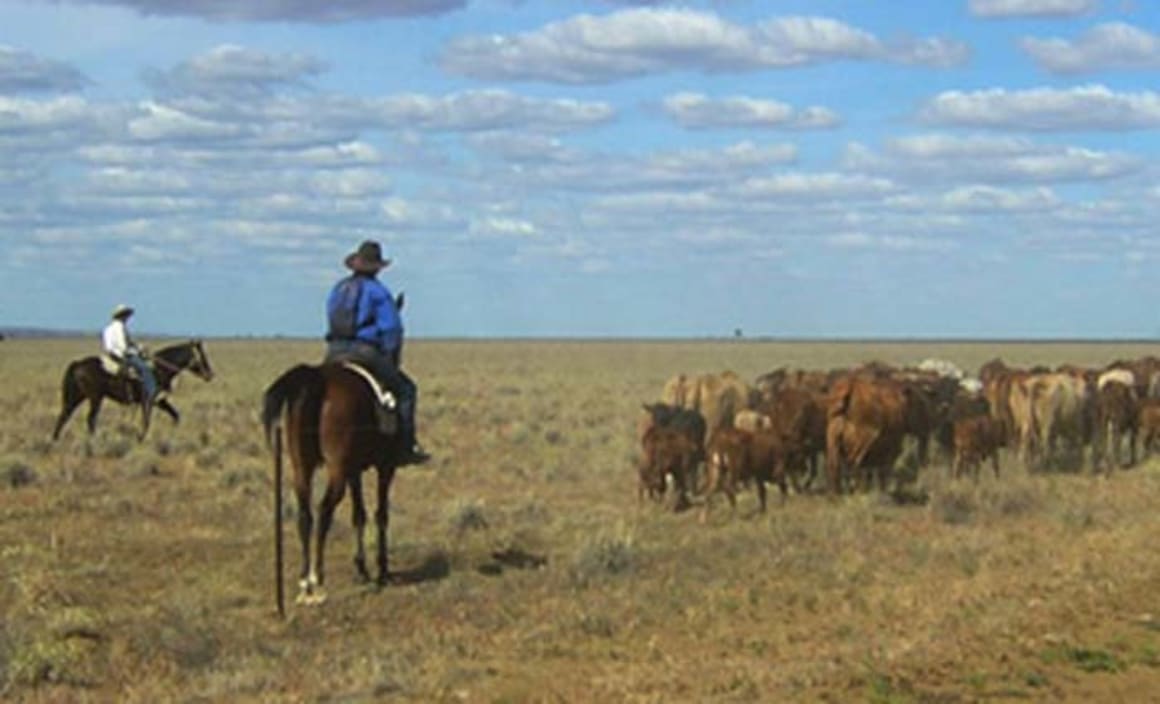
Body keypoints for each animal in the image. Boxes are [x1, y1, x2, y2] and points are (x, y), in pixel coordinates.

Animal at [50, 340, 215, 440]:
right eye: (202, 356)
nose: (210, 374)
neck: (158, 370)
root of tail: (78, 363)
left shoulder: (159, 401)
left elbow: (175, 416)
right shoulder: (147, 400)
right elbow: (146, 421)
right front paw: (140, 438)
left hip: (78, 395)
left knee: (64, 415)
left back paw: (55, 440)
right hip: (95, 397)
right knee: (90, 418)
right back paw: (93, 441)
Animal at [263, 361, 412, 612]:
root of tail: (317, 377)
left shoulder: (354, 471)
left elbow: (358, 515)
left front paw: (361, 568)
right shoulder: (386, 467)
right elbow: (381, 514)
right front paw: (382, 569)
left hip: (301, 467)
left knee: (305, 515)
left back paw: (305, 583)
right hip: (337, 470)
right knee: (324, 511)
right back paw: (318, 580)